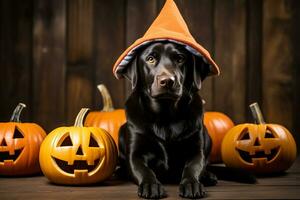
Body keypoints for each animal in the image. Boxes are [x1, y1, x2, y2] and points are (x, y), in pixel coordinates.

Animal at [118, 41, 218, 198]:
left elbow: (193, 167)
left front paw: (191, 183)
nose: (167, 81)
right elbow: (144, 170)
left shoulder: (196, 150)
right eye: (151, 59)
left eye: (180, 59)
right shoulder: (135, 154)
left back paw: (208, 176)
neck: (165, 116)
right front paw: (150, 185)